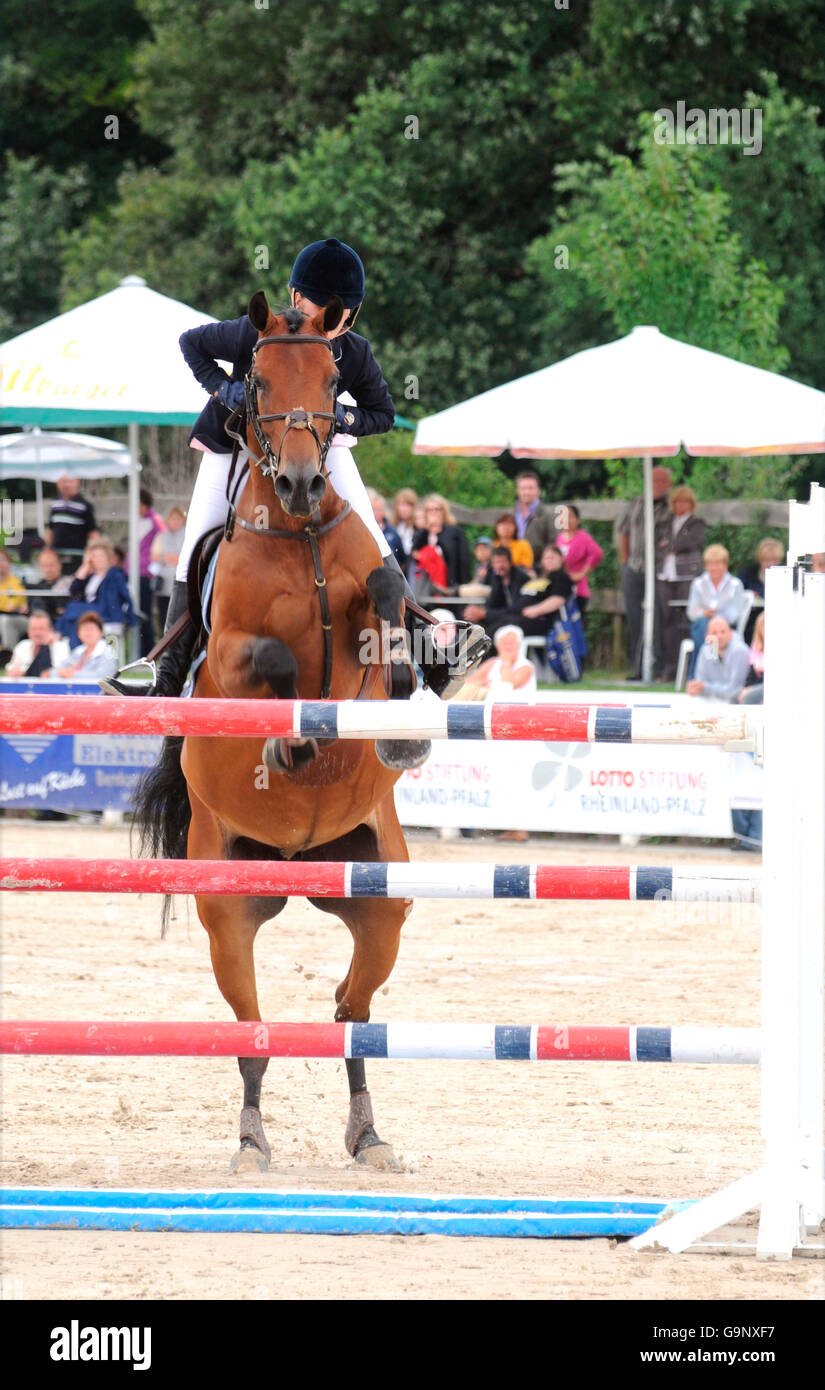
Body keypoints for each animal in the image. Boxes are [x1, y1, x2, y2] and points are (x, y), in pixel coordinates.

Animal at [134, 292, 422, 1173]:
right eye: (256, 380)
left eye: (334, 379)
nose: (299, 481)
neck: (297, 533)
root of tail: (298, 868)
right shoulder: (229, 654)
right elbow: (272, 660)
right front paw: (287, 740)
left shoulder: (363, 602)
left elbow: (385, 592)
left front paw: (404, 696)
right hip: (227, 909)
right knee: (252, 1029)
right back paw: (251, 1142)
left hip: (380, 902)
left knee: (350, 1012)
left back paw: (368, 1136)